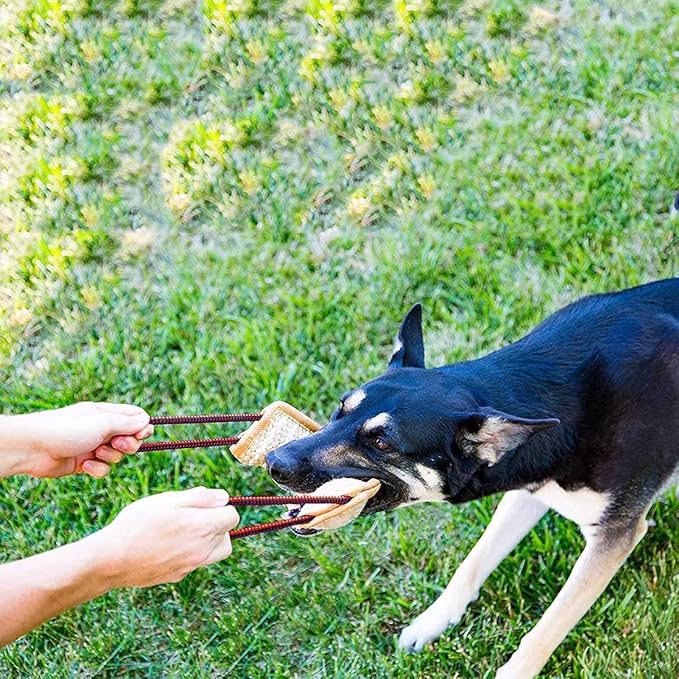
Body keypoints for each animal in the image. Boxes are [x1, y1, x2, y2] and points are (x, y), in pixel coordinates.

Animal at [266, 278, 679, 676]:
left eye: (381, 442)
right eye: (340, 408)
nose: (274, 462)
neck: (565, 406)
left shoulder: (613, 535)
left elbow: (550, 625)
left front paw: (515, 672)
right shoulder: (530, 489)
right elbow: (474, 560)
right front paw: (431, 622)